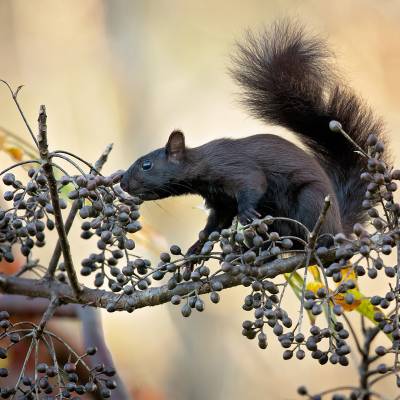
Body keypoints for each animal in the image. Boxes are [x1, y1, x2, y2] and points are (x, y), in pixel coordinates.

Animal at [120, 19, 386, 253]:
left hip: (312, 201)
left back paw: (314, 243)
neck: (203, 164)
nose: (122, 183)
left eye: (146, 165)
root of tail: (339, 227)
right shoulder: (220, 203)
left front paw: (246, 211)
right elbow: (214, 225)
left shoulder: (233, 167)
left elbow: (254, 182)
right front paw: (196, 247)